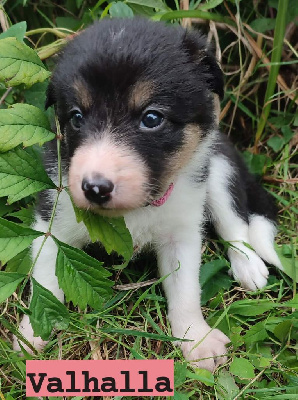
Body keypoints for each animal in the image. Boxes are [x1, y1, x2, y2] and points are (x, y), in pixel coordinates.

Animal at [13, 18, 282, 372]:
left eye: (152, 118)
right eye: (76, 117)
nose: (95, 188)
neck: (134, 211)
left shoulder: (182, 230)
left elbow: (186, 289)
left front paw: (197, 340)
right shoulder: (53, 218)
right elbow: (45, 280)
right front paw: (31, 335)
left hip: (219, 168)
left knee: (235, 222)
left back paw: (248, 265)